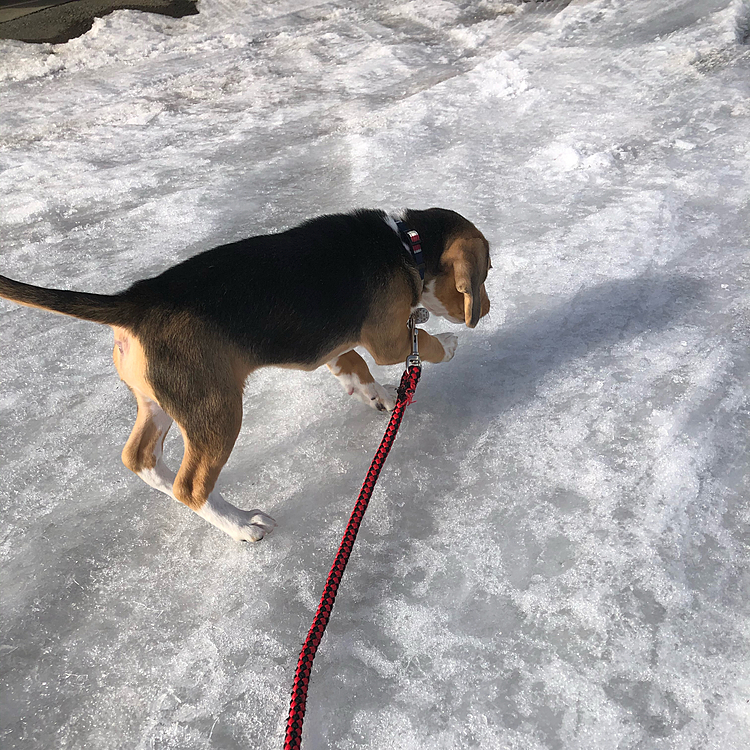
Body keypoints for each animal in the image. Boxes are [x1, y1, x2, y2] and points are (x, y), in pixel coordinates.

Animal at [0, 209, 490, 544]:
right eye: (485, 274)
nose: (483, 312)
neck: (406, 244)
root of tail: (135, 301)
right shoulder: (388, 338)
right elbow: (419, 342)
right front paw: (447, 345)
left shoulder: (338, 343)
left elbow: (353, 365)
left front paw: (379, 397)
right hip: (215, 409)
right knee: (191, 486)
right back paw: (240, 525)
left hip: (161, 403)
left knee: (140, 458)